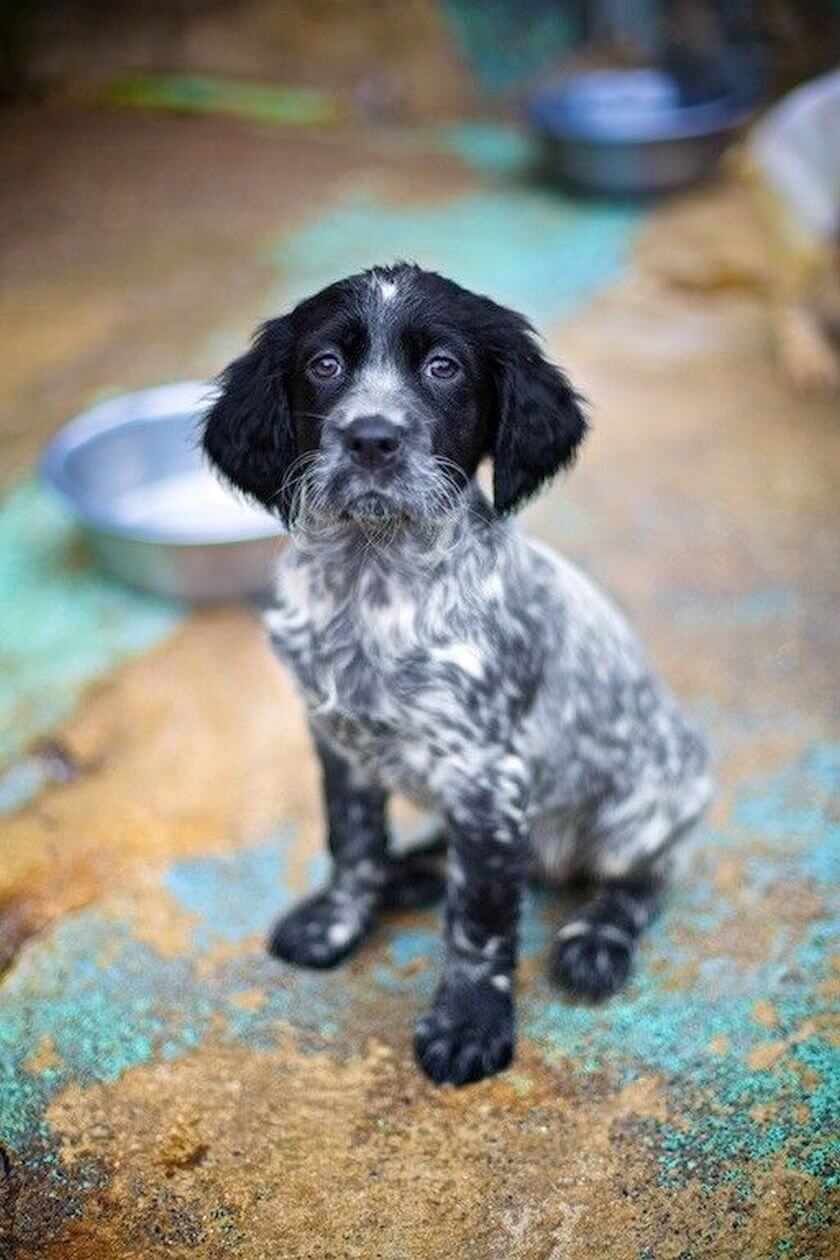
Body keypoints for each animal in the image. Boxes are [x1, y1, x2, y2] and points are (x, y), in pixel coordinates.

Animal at [201, 263, 710, 1083]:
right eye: (325, 364)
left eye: (444, 367)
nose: (371, 439)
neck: (371, 579)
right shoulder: (339, 740)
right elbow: (352, 844)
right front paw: (337, 922)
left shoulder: (486, 776)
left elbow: (478, 922)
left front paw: (470, 1023)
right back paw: (412, 872)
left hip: (648, 805)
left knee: (643, 878)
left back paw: (595, 939)